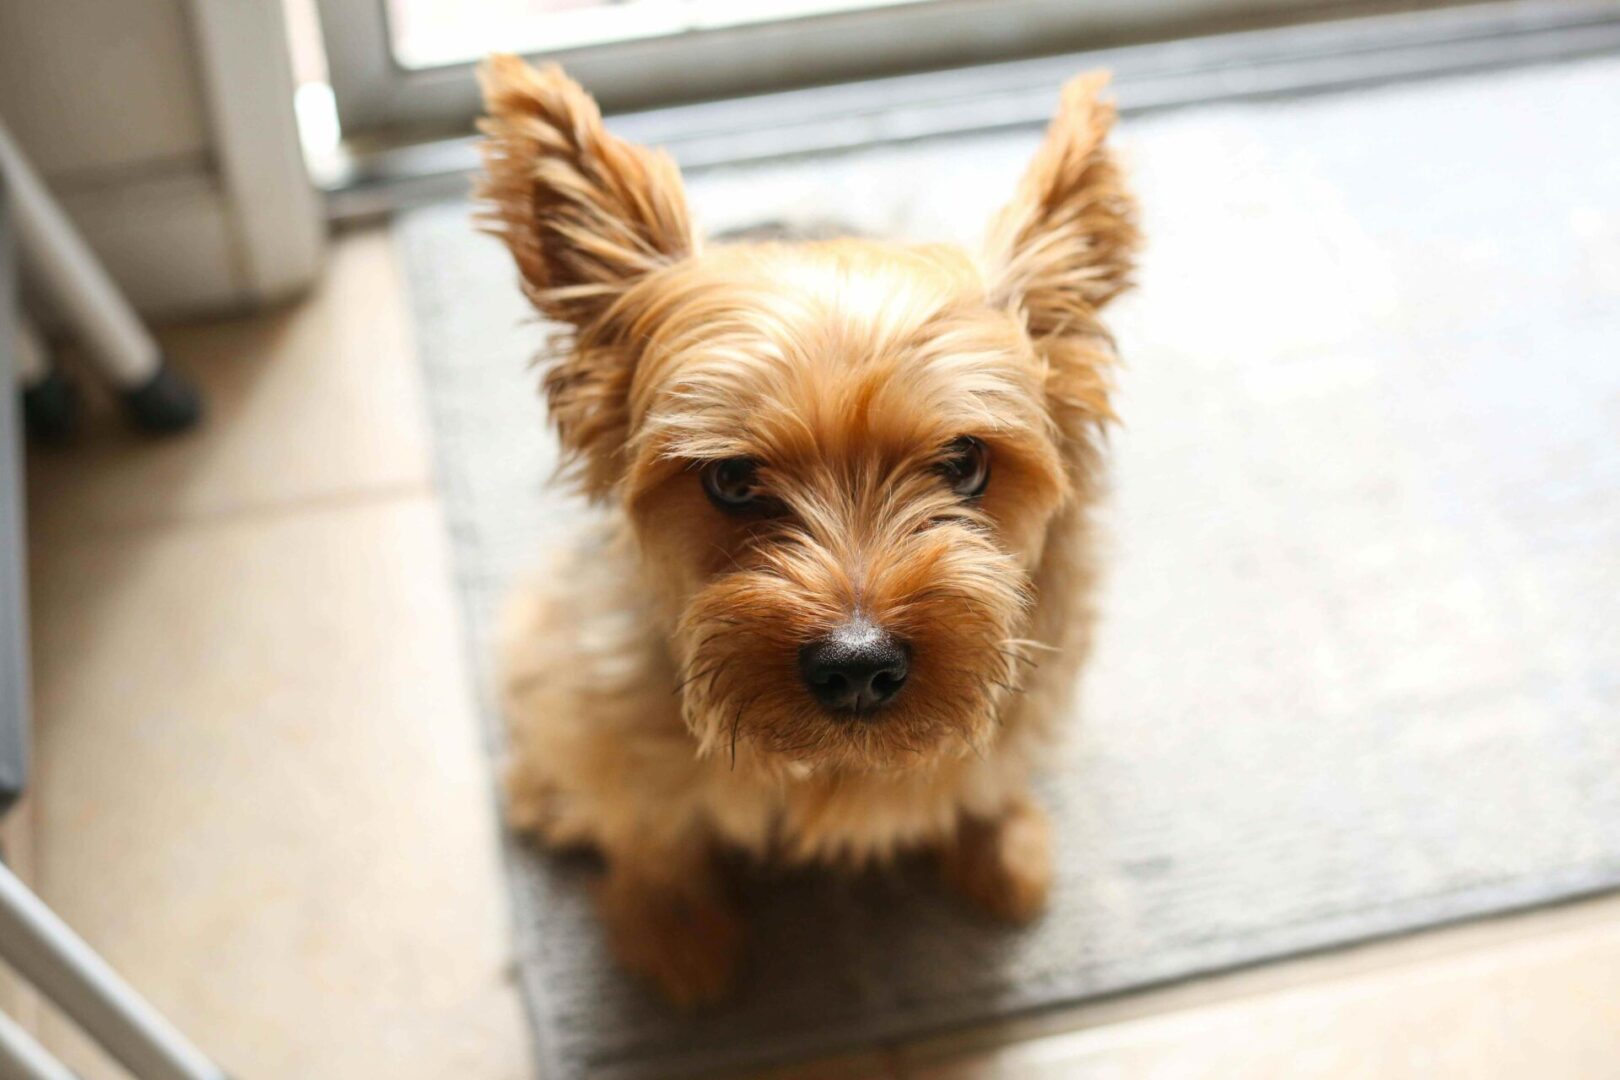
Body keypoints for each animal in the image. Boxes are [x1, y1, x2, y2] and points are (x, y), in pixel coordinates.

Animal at [476, 55, 1140, 1003]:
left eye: (964, 462)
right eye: (731, 479)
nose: (858, 665)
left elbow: (990, 771)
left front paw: (997, 842)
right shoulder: (608, 705)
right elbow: (651, 827)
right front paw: (674, 933)